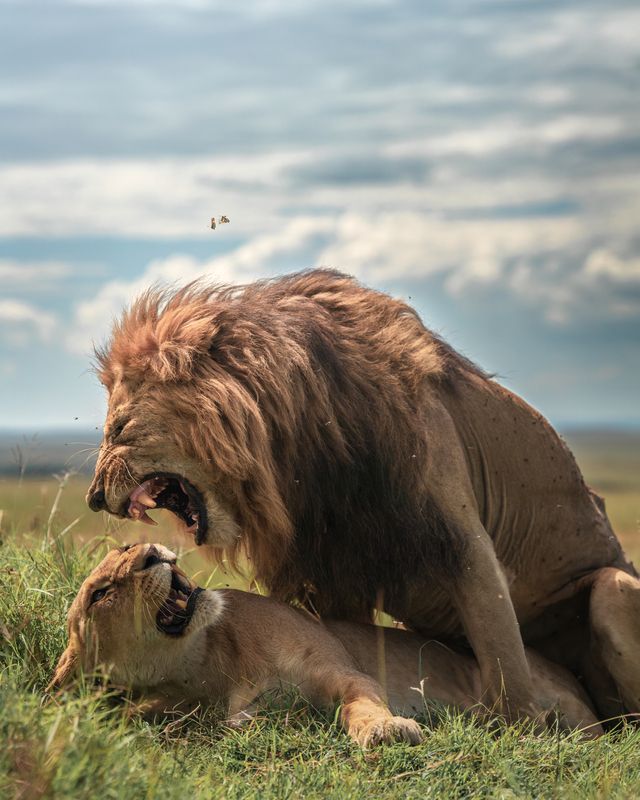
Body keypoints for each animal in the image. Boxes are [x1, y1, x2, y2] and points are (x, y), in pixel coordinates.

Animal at [49, 543, 603, 742]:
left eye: (125, 545)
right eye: (101, 593)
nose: (151, 552)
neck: (211, 663)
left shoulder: (343, 672)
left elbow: (360, 705)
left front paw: (386, 730)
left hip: (572, 706)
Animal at [86, 269, 640, 724]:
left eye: (119, 428)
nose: (91, 498)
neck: (299, 444)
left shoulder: (462, 541)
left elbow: (505, 660)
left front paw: (521, 733)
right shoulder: (334, 567)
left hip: (612, 586)